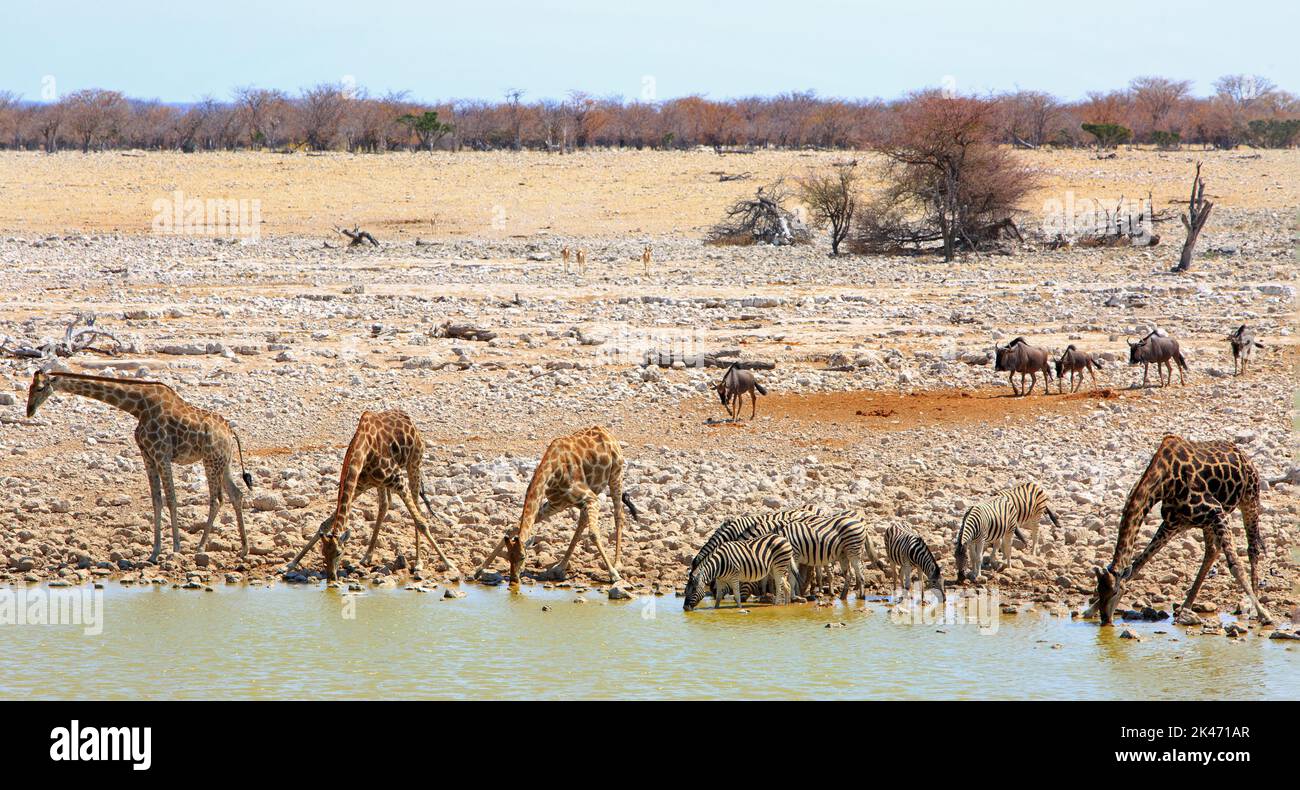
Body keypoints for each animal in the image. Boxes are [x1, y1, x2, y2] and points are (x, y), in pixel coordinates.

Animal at [27, 369, 253, 561]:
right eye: (30, 387)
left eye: (39, 388)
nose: (29, 411)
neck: (138, 407)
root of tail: (230, 432)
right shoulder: (147, 455)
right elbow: (156, 501)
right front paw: (155, 551)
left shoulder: (161, 454)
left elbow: (171, 500)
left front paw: (176, 548)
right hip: (224, 463)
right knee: (236, 494)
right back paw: (244, 549)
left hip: (211, 461)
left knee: (217, 499)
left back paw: (201, 547)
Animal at [287, 410, 460, 582]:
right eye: (323, 552)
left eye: (339, 553)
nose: (331, 577)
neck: (363, 451)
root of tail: (408, 419)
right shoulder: (359, 486)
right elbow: (325, 524)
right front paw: (292, 563)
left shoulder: (399, 482)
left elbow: (421, 523)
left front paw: (449, 564)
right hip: (380, 483)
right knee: (384, 505)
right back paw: (367, 556)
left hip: (414, 464)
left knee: (417, 507)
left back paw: (418, 562)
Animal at [475, 426, 642, 587]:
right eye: (508, 556)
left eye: (523, 557)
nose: (514, 579)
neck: (552, 471)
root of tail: (607, 432)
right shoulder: (556, 504)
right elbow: (513, 527)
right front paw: (479, 570)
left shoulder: (591, 499)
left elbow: (594, 534)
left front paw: (614, 575)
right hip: (585, 498)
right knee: (582, 522)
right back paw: (560, 567)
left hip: (616, 475)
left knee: (618, 514)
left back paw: (617, 564)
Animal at [1086, 433, 1268, 626]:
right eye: (1098, 590)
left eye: (1114, 591)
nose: (1105, 620)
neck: (1164, 482)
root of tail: (1243, 455)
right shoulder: (1173, 523)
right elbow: (1138, 564)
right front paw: (1090, 610)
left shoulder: (1217, 512)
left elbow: (1235, 566)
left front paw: (1264, 614)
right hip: (1206, 523)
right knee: (1212, 551)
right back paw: (1185, 607)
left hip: (1249, 498)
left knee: (1252, 548)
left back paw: (1252, 607)